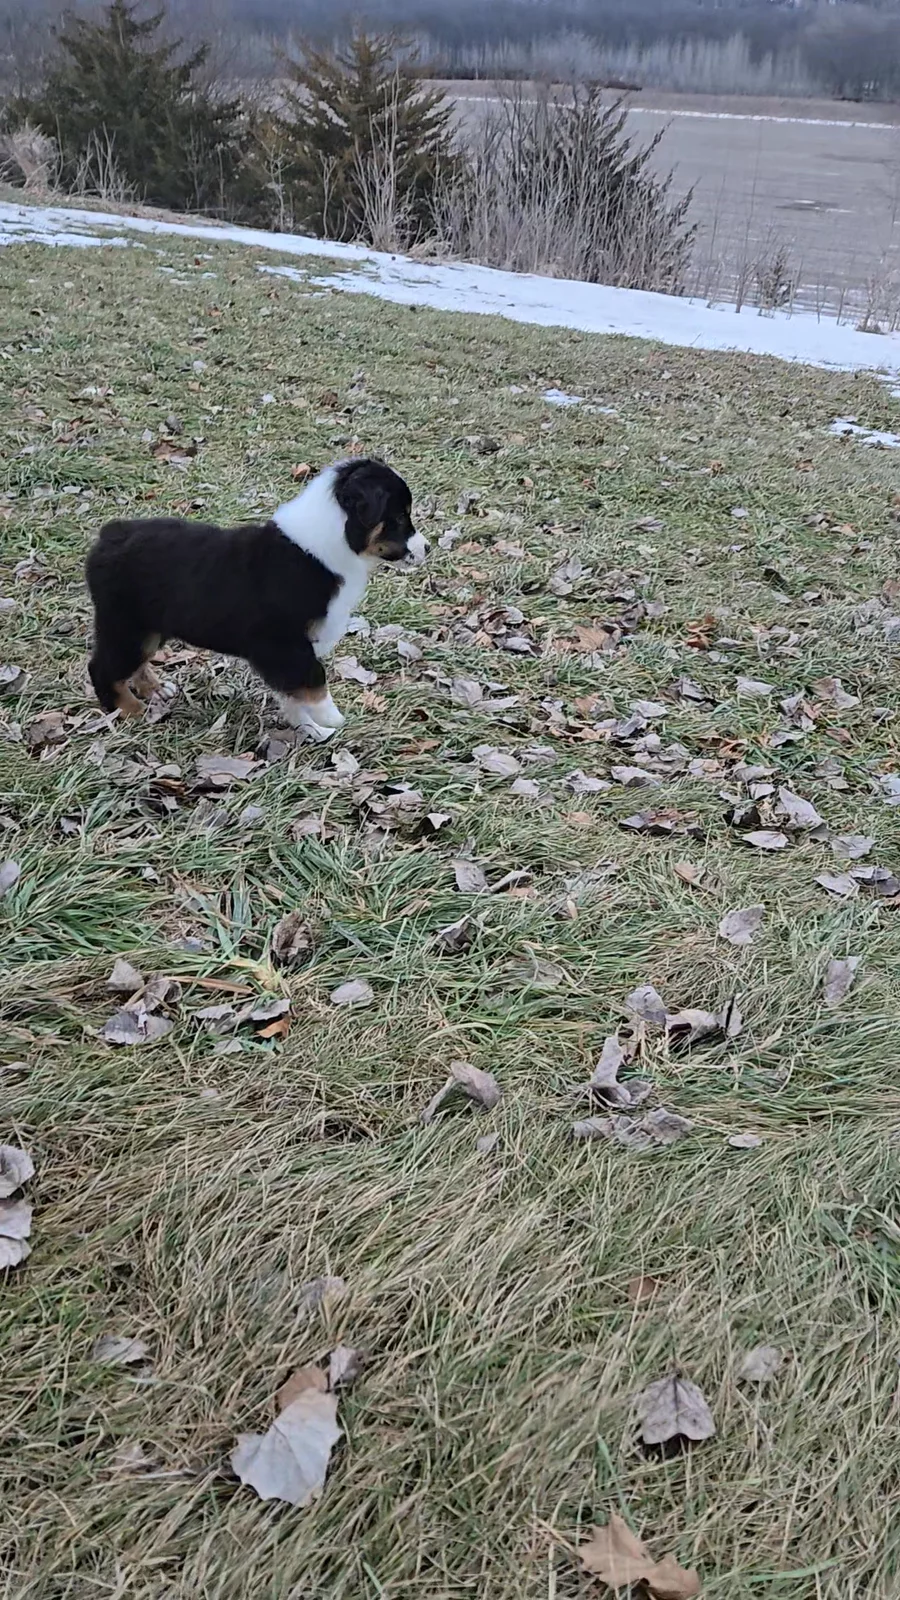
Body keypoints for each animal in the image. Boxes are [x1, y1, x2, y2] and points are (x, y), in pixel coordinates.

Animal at [85, 457, 426, 740]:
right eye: (399, 517)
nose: (428, 548)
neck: (326, 546)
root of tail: (109, 534)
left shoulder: (289, 652)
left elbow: (293, 693)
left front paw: (311, 729)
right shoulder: (282, 644)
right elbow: (313, 677)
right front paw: (330, 718)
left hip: (148, 629)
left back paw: (155, 689)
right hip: (126, 625)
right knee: (102, 669)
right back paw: (132, 712)